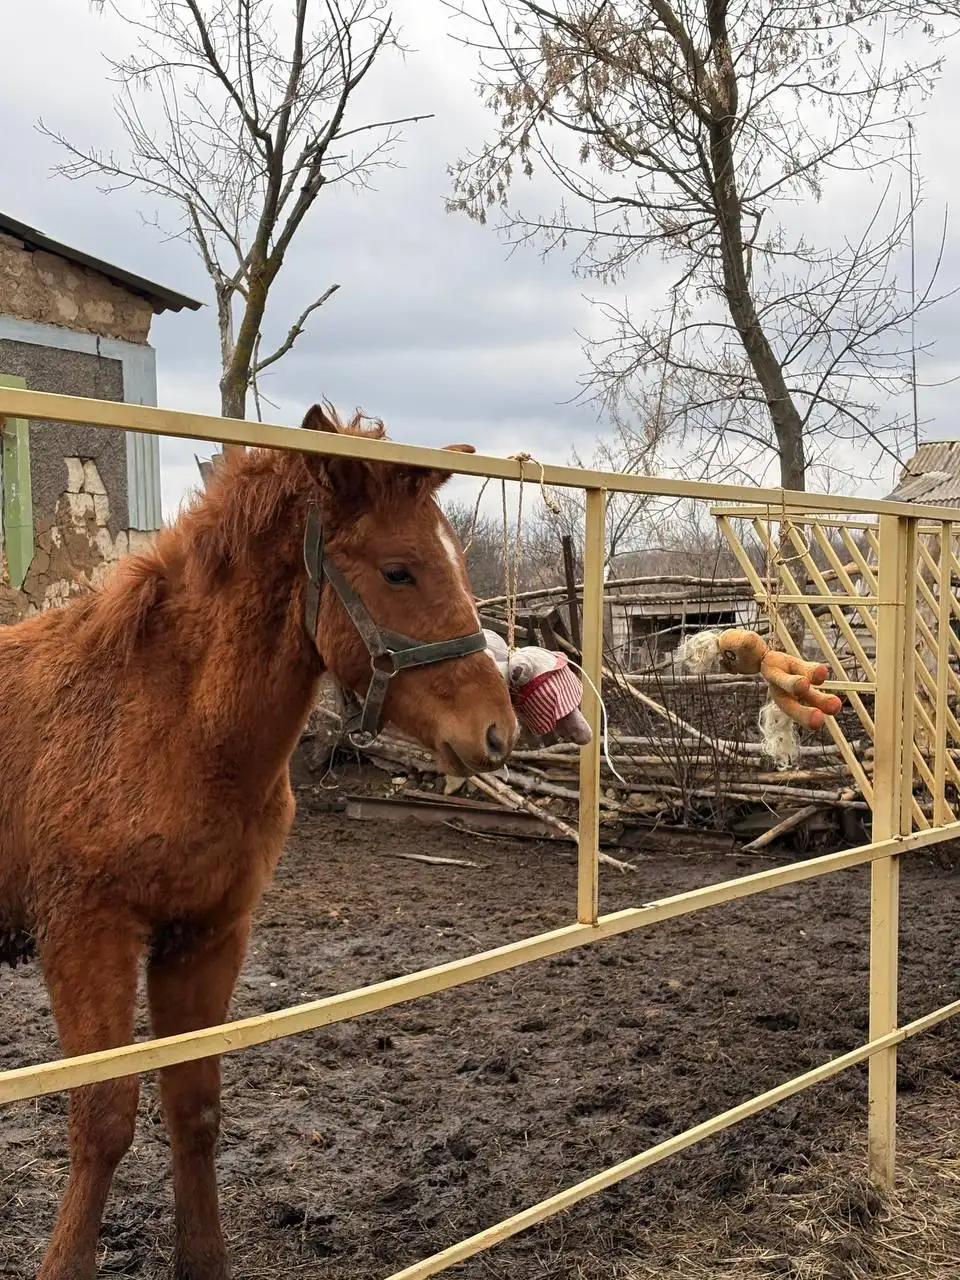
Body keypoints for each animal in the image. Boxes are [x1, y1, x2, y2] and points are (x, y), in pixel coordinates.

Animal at [0, 402, 518, 1279]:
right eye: (399, 571)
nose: (497, 732)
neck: (169, 723)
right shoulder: (85, 934)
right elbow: (102, 1117)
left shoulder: (207, 934)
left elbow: (194, 1106)